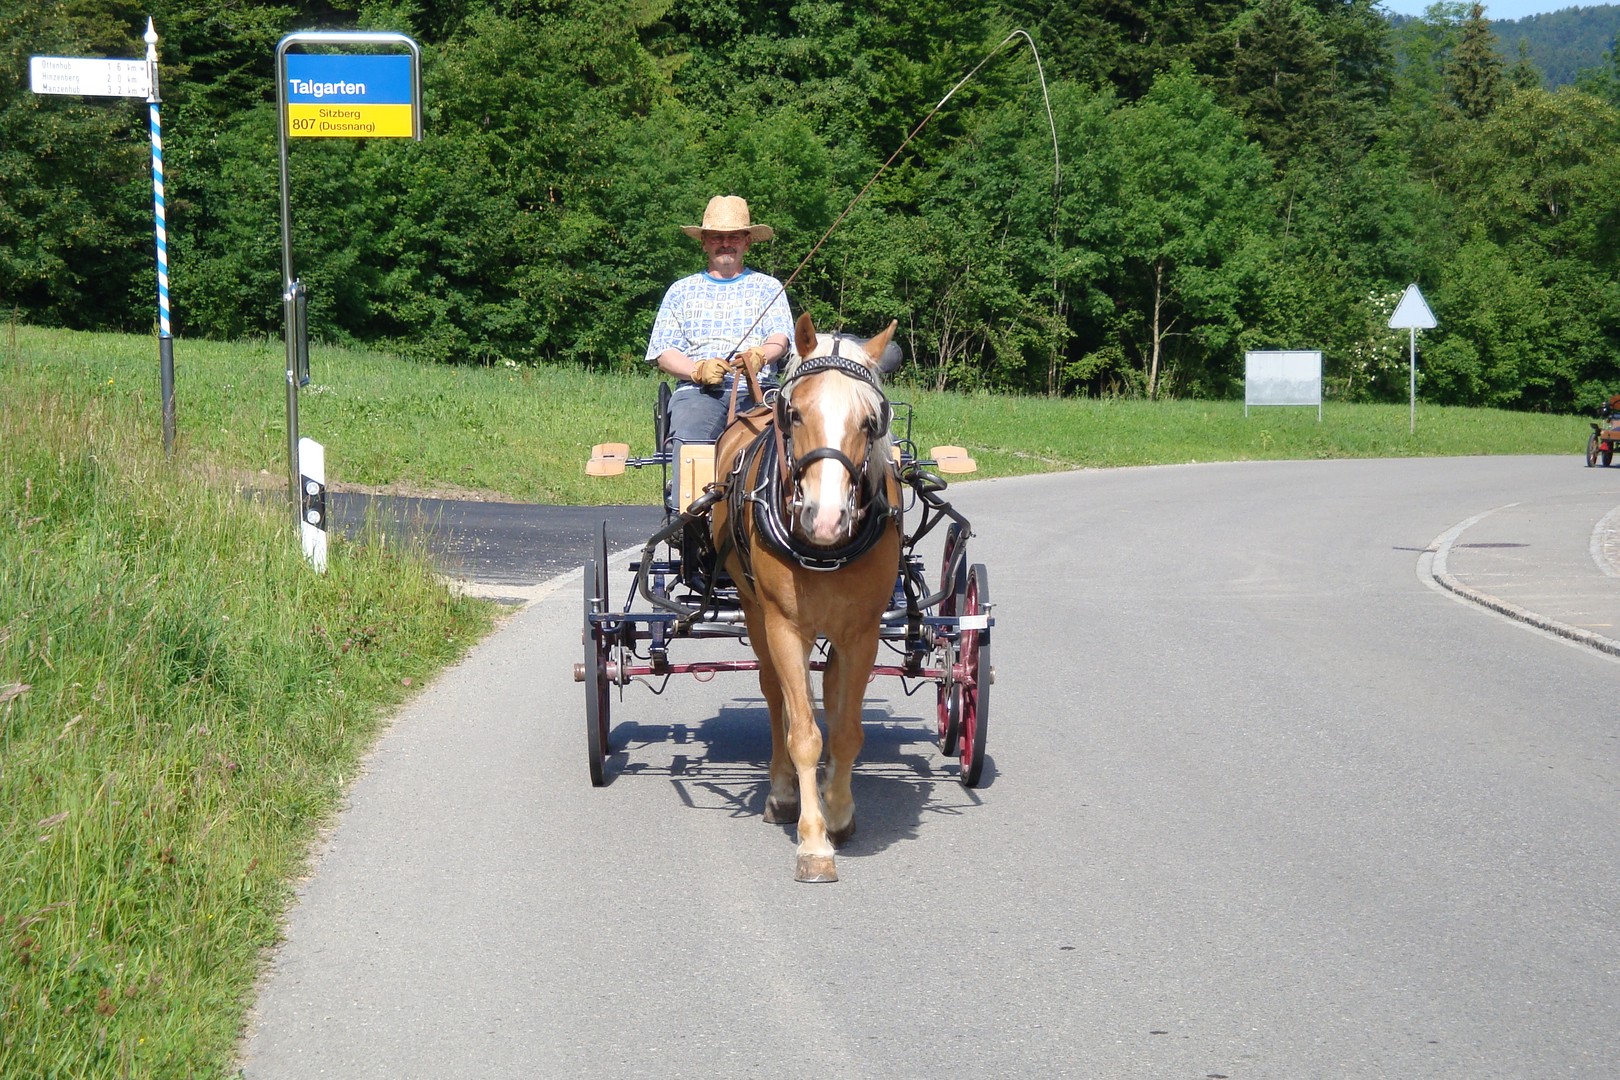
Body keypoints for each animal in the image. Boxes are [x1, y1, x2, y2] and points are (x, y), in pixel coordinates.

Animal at [712, 310, 907, 880]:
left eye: (871, 421)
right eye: (795, 413)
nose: (826, 518)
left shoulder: (862, 631)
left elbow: (845, 730)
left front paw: (838, 812)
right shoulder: (784, 624)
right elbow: (803, 731)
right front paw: (814, 841)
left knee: (834, 692)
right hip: (756, 613)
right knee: (776, 694)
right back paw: (782, 794)